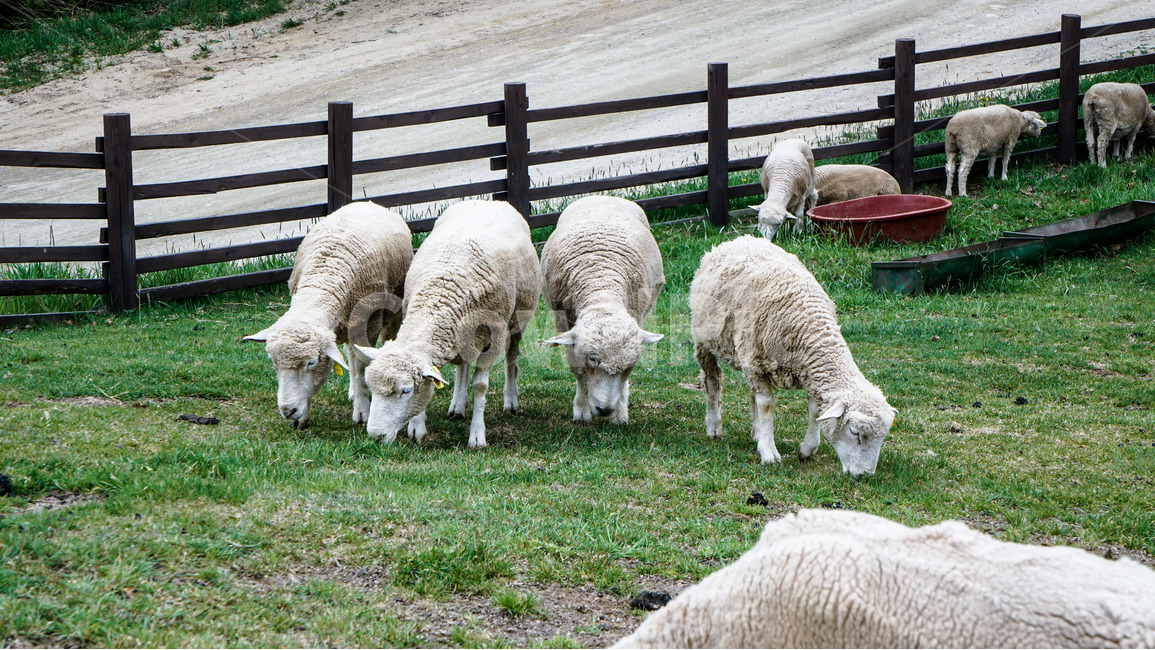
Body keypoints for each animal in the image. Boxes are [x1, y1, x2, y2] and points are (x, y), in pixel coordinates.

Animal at [243, 201, 412, 429]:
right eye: (273, 361)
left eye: (311, 362)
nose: (288, 411)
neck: (324, 279)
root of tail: (365, 203)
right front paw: (302, 417)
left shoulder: (367, 326)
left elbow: (361, 370)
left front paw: (362, 411)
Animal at [354, 200, 540, 448]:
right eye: (371, 387)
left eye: (405, 391)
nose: (376, 436)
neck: (440, 295)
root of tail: (489, 201)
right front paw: (417, 429)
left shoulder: (495, 335)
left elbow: (480, 386)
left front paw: (477, 435)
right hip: (468, 333)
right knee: (464, 365)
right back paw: (457, 405)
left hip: (518, 318)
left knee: (512, 356)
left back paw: (510, 400)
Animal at [540, 195, 665, 425]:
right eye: (592, 358)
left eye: (628, 365)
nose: (605, 409)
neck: (602, 289)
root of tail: (603, 195)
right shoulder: (566, 325)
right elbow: (578, 371)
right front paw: (581, 412)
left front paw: (619, 414)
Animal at [689, 235, 895, 477]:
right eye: (855, 432)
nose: (864, 475)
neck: (809, 325)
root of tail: (736, 239)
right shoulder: (757, 363)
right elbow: (767, 405)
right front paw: (768, 453)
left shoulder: (805, 372)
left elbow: (814, 410)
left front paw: (806, 449)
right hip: (705, 341)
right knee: (712, 382)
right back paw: (714, 427)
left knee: (751, 393)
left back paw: (756, 431)